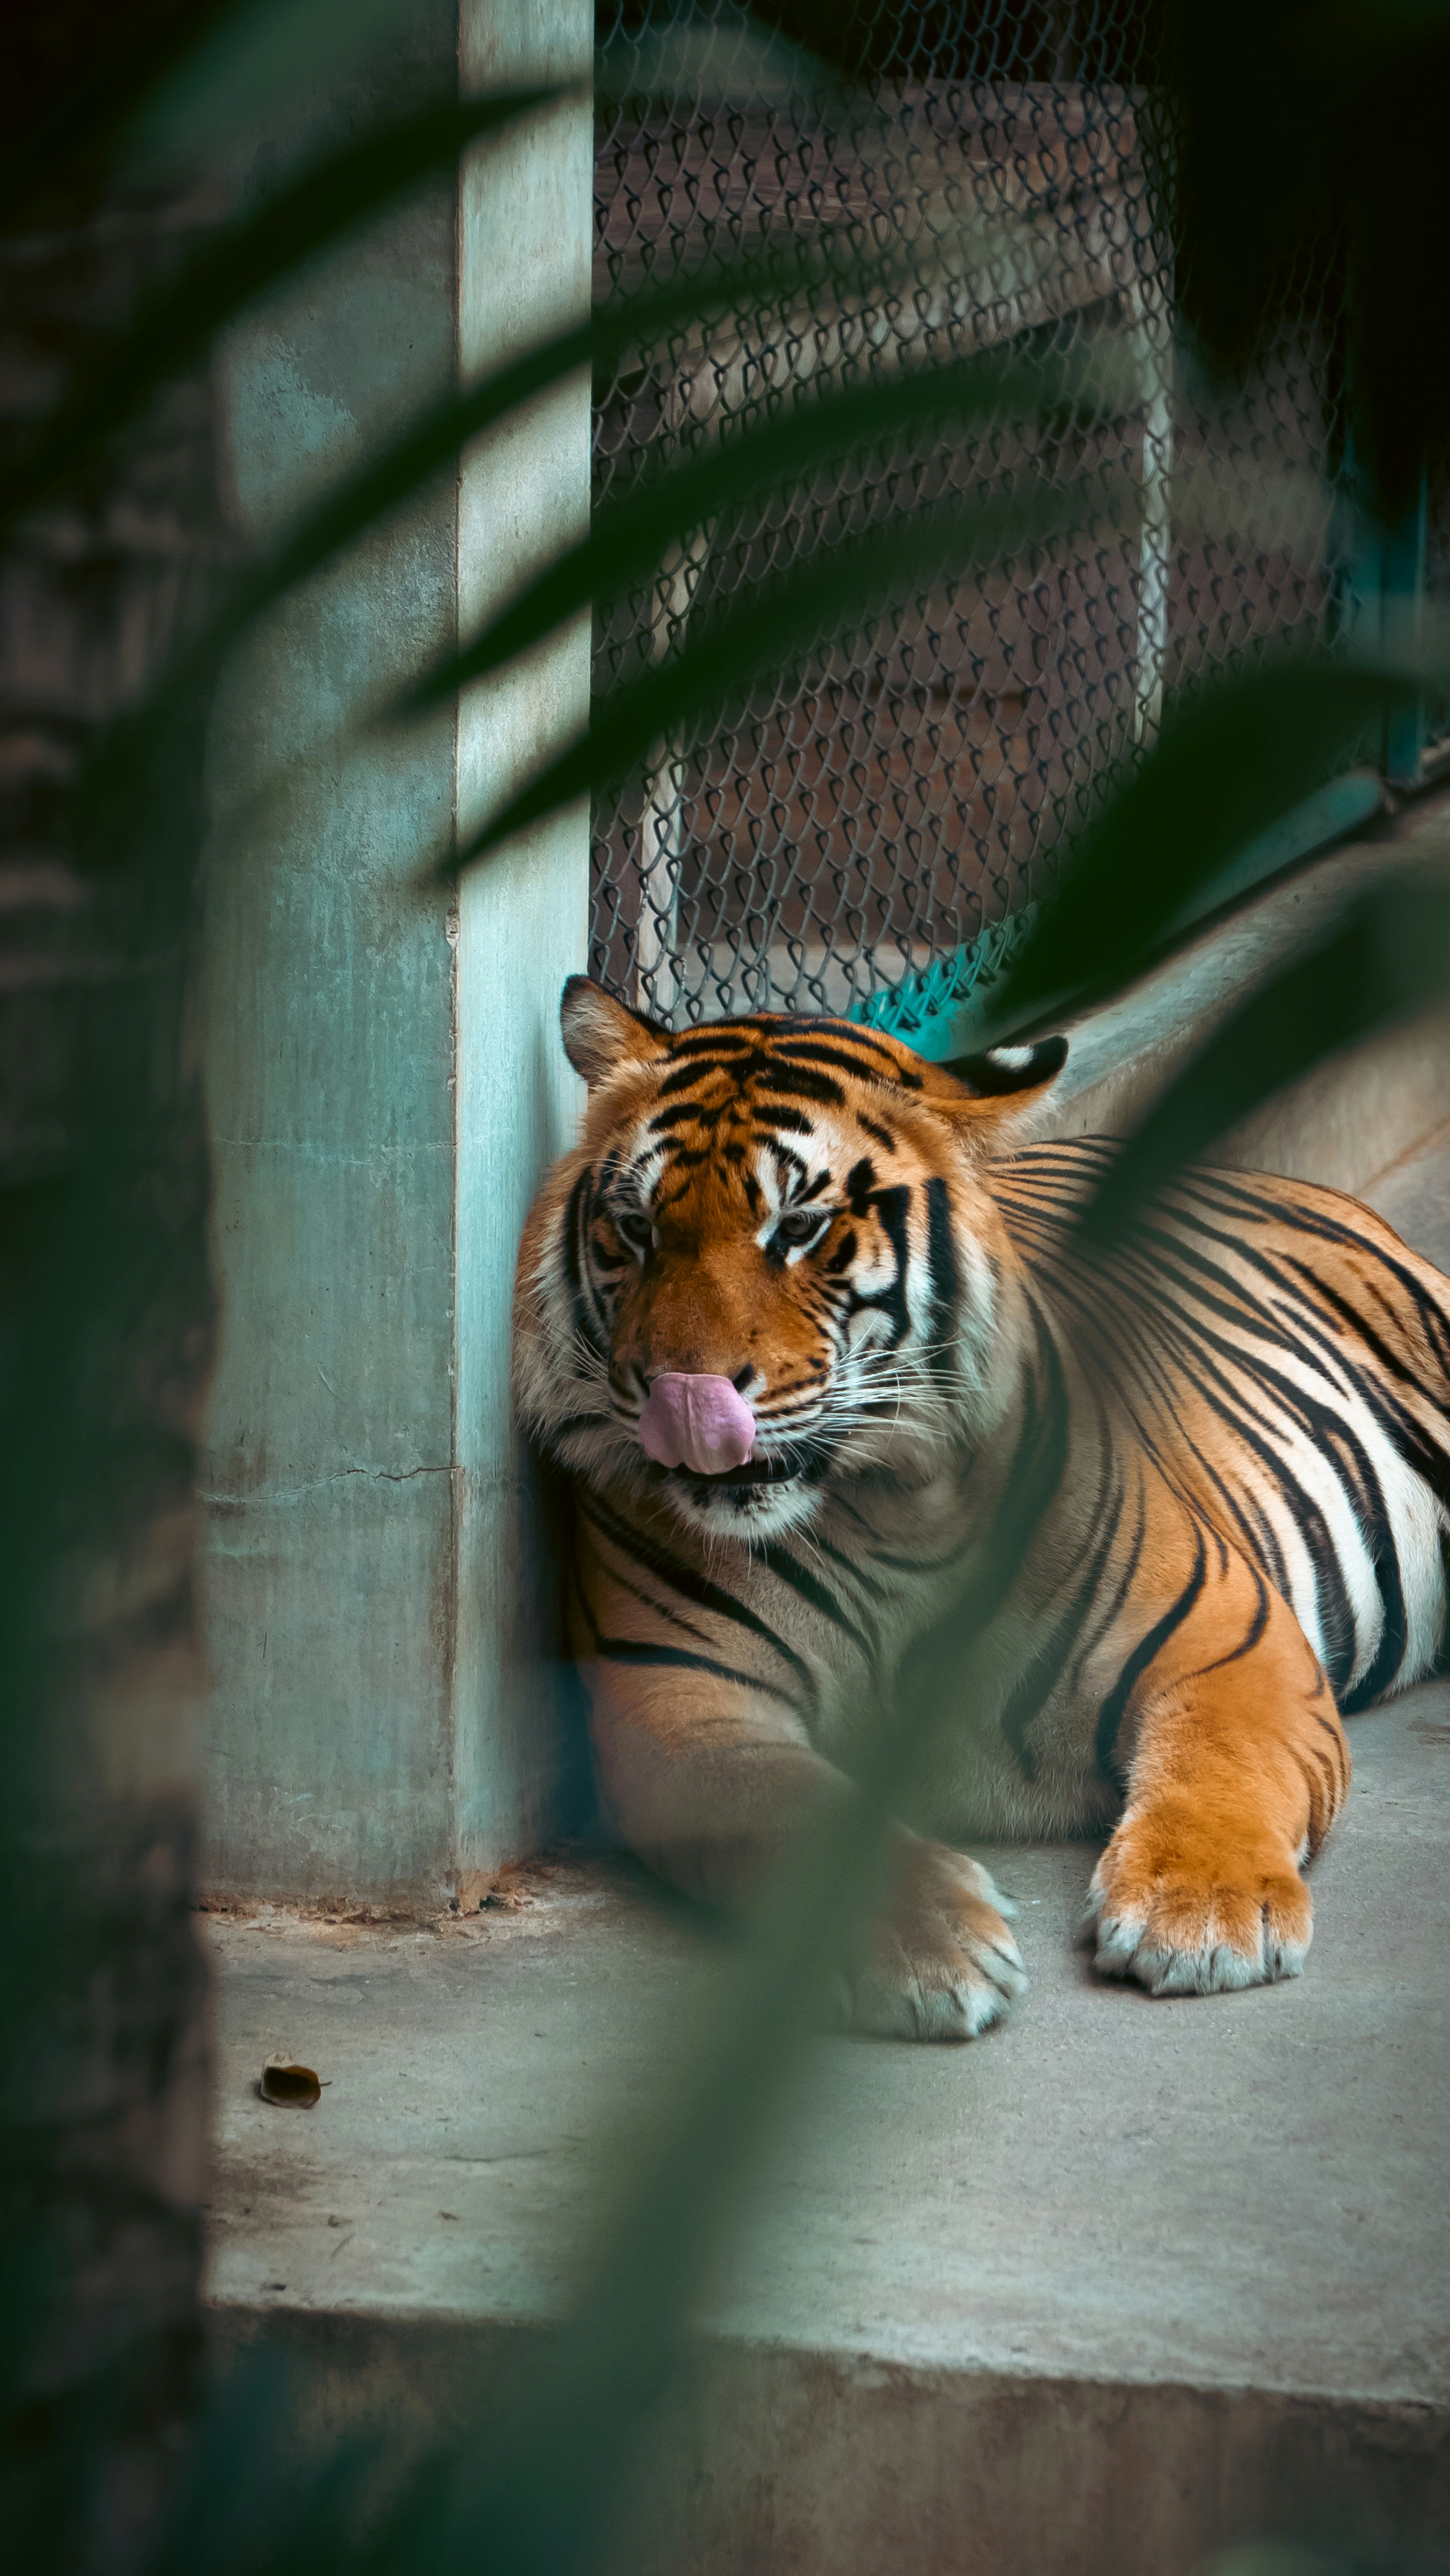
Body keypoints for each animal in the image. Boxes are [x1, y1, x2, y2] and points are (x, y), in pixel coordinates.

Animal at [513, 974, 1450, 2039]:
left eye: (797, 1230)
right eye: (635, 1230)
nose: (678, 1398)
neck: (878, 1514)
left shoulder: (1226, 1637)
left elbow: (1219, 1766)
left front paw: (1202, 1914)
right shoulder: (681, 1706)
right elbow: (796, 1818)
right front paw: (931, 1949)